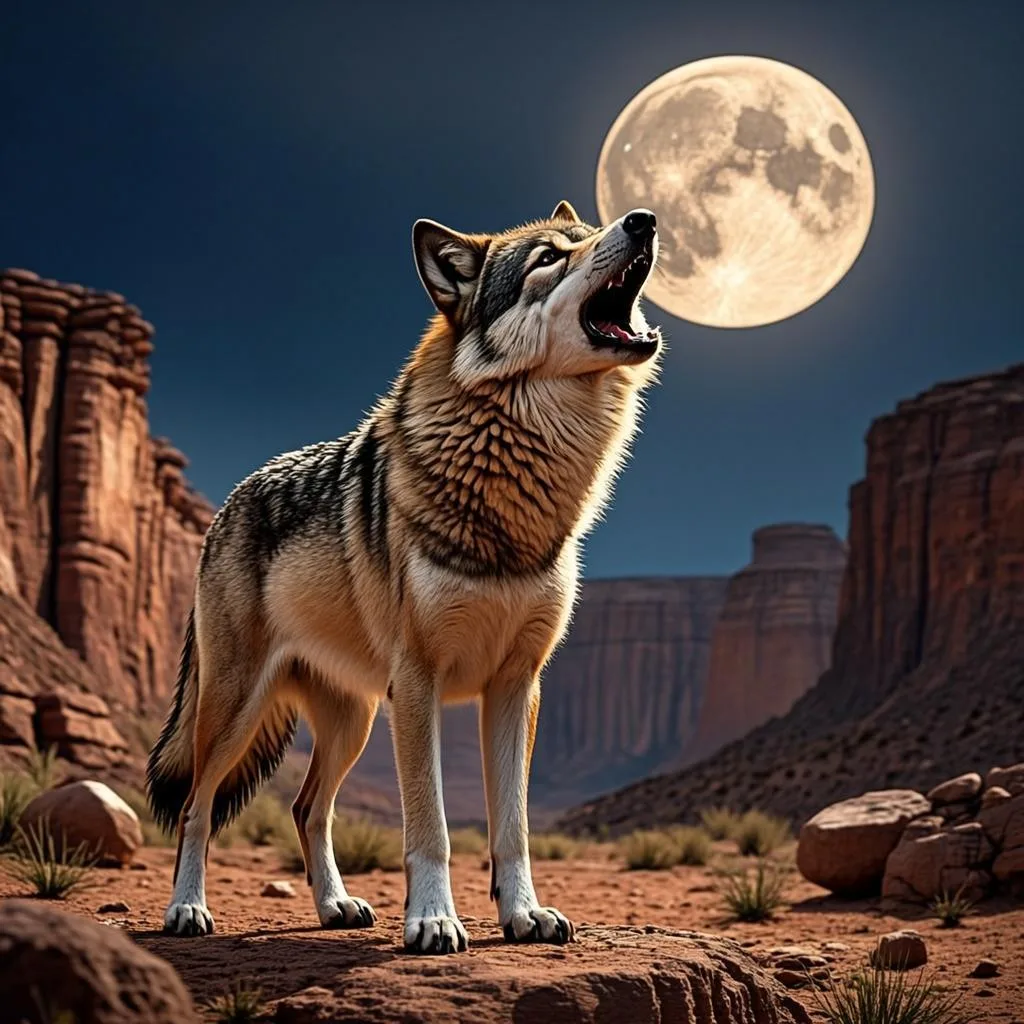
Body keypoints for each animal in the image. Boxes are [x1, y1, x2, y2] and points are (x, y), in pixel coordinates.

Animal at [147, 200, 661, 954]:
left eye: (586, 233)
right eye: (548, 257)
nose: (643, 220)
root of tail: (232, 498)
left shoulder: (517, 686)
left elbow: (513, 828)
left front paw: (524, 915)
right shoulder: (419, 683)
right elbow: (431, 827)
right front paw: (433, 919)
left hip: (354, 723)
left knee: (306, 808)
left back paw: (335, 906)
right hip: (237, 710)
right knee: (196, 806)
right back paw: (186, 909)